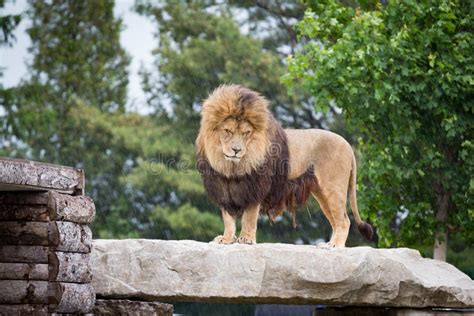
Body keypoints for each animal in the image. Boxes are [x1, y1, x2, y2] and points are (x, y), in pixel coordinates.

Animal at [196, 85, 374, 248]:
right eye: (227, 131)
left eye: (246, 133)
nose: (236, 150)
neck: (231, 167)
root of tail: (348, 145)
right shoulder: (223, 189)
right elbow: (228, 220)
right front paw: (226, 239)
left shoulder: (255, 188)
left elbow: (249, 217)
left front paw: (246, 239)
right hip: (321, 193)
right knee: (336, 221)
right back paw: (329, 244)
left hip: (333, 188)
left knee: (344, 220)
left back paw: (335, 245)